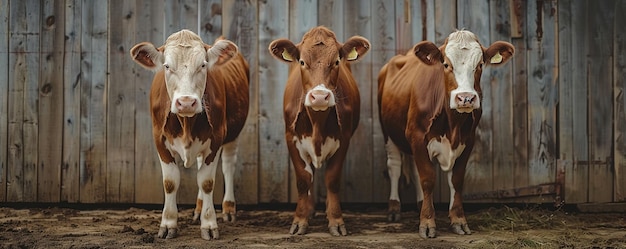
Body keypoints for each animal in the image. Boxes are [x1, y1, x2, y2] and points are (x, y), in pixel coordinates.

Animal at [129, 29, 249, 241]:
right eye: (167, 66)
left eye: (203, 65)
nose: (186, 103)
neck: (186, 122)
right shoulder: (159, 138)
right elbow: (170, 182)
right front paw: (168, 224)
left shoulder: (216, 139)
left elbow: (207, 182)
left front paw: (209, 224)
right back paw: (199, 209)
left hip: (233, 135)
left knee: (228, 166)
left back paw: (228, 209)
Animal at [266, 26, 368, 236]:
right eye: (302, 62)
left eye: (336, 61)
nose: (320, 97)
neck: (317, 123)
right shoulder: (291, 139)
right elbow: (304, 179)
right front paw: (300, 220)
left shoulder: (344, 139)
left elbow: (332, 179)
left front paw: (335, 220)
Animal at [376, 30, 512, 238]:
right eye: (446, 64)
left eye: (480, 65)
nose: (466, 98)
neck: (452, 124)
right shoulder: (417, 136)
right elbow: (427, 178)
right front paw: (427, 222)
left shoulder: (468, 141)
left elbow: (456, 180)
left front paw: (458, 220)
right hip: (388, 134)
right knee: (394, 167)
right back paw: (394, 209)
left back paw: (419, 204)